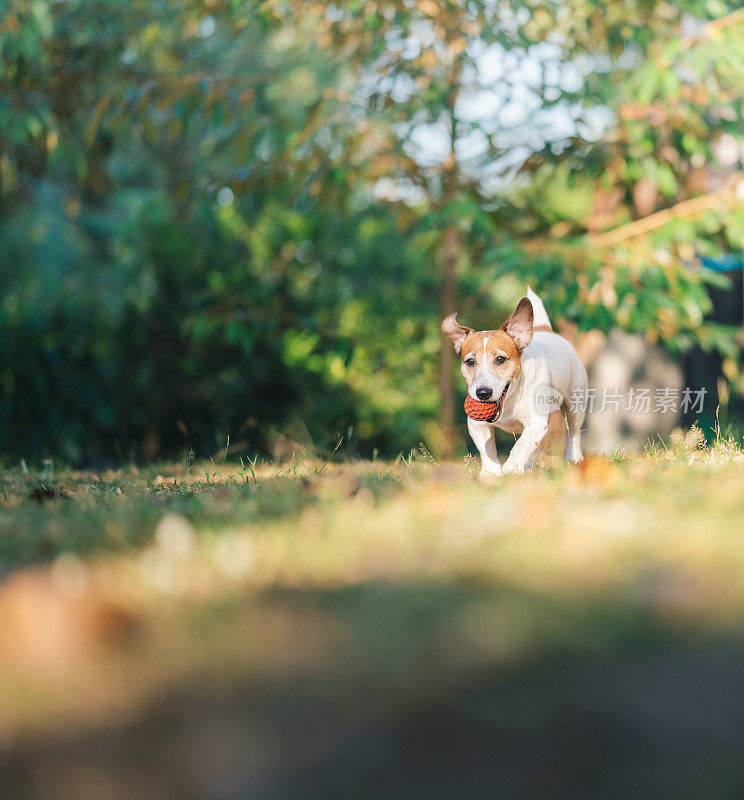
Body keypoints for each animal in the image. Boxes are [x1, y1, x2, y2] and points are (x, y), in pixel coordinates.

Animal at [442, 288, 588, 476]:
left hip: (575, 406)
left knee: (574, 434)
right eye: (470, 362)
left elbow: (521, 446)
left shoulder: (536, 423)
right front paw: (491, 472)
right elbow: (486, 447)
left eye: (500, 359)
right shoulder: (476, 424)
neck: (509, 400)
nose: (483, 393)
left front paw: (510, 468)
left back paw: (573, 460)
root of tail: (547, 330)